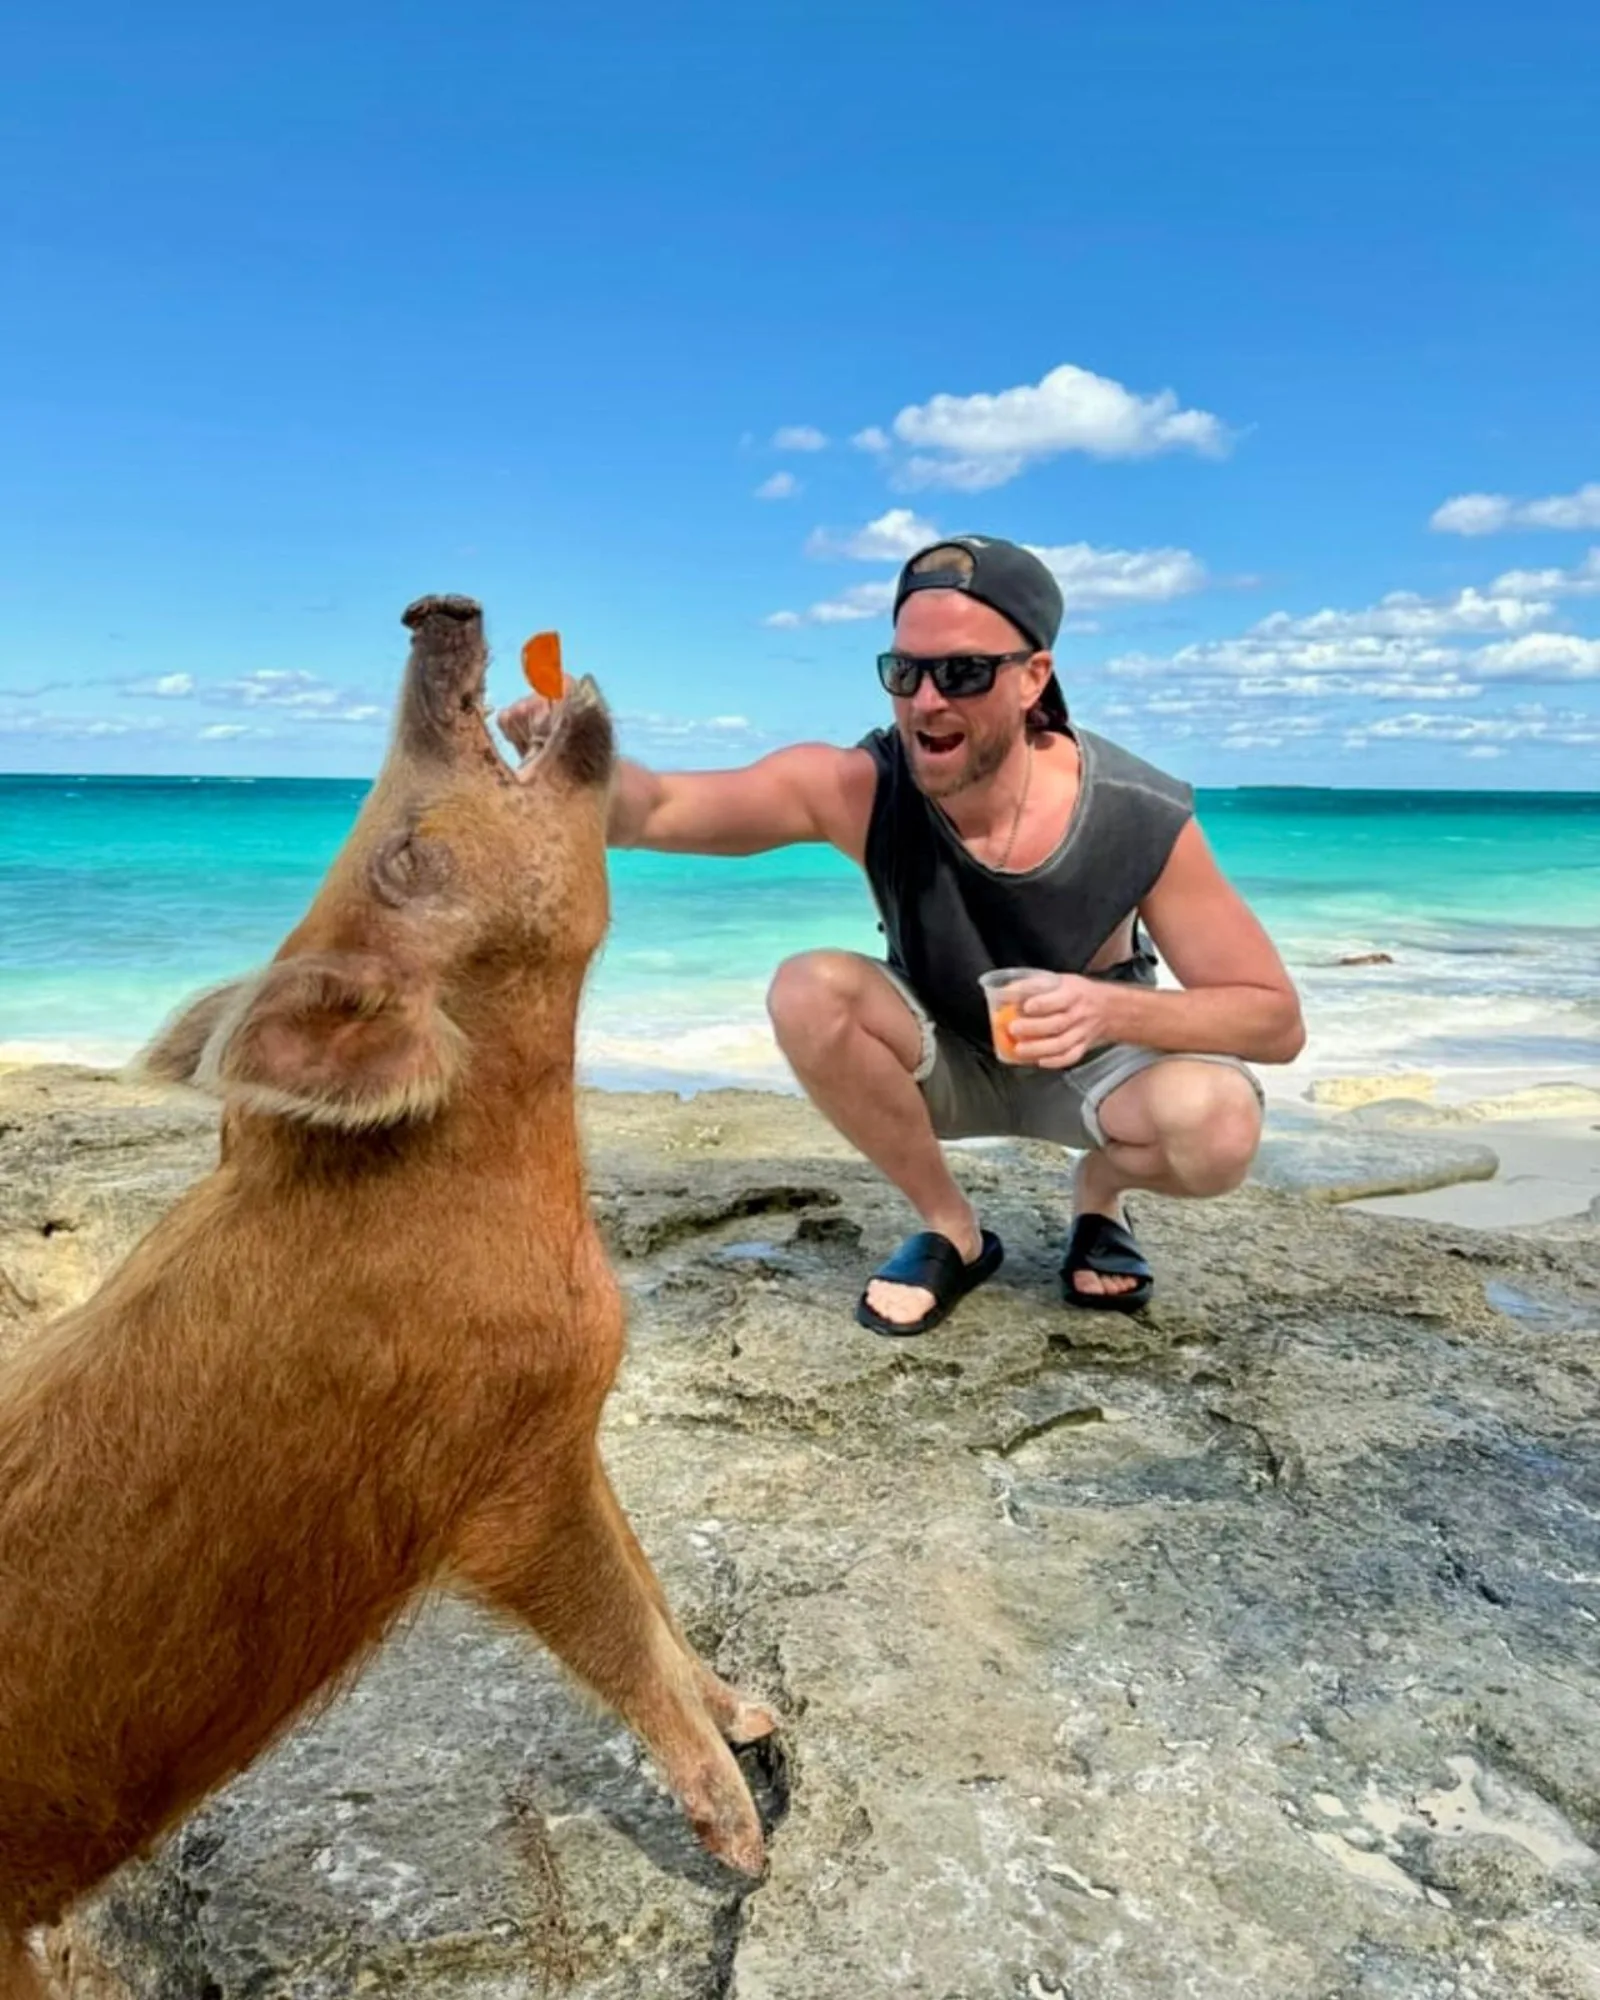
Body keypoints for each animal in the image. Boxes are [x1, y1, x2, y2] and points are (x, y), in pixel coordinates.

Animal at [0, 595, 775, 1999]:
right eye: (408, 855)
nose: (433, 610)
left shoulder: (570, 1430)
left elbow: (652, 1582)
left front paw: (761, 1710)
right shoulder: (502, 1481)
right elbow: (619, 1624)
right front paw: (743, 1846)